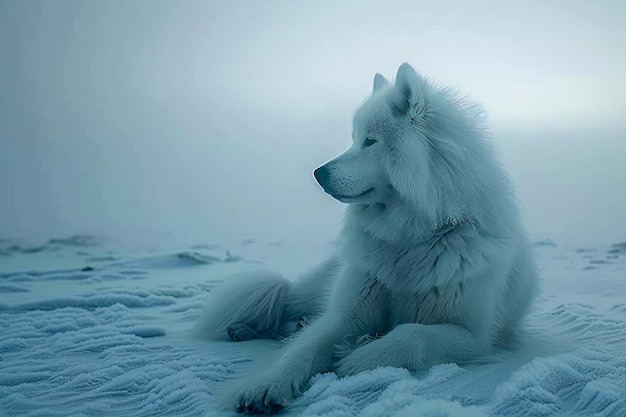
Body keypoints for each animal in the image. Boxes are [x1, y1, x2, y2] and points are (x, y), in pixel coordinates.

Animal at [196, 62, 536, 412]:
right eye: (354, 139)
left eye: (370, 141)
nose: (318, 173)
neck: (410, 239)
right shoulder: (346, 312)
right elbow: (303, 348)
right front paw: (266, 386)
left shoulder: (470, 335)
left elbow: (412, 334)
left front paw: (356, 357)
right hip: (318, 286)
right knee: (286, 300)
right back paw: (245, 327)